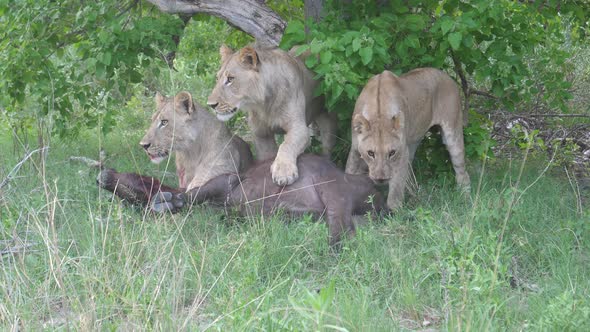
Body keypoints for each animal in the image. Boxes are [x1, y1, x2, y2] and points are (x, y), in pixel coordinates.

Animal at [208, 43, 338, 187]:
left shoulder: (299, 128)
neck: (264, 106)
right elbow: (267, 156)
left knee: (327, 145)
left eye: (230, 79)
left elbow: (286, 145)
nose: (210, 105)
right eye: (217, 78)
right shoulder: (261, 134)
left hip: (328, 117)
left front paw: (283, 172)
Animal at [346, 68, 472, 209]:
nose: (381, 179)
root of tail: (450, 78)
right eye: (370, 153)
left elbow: (395, 190)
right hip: (412, 142)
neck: (379, 112)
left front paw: (394, 212)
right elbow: (349, 172)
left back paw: (466, 201)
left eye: (392, 153)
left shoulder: (401, 153)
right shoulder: (354, 149)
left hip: (452, 134)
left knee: (463, 173)